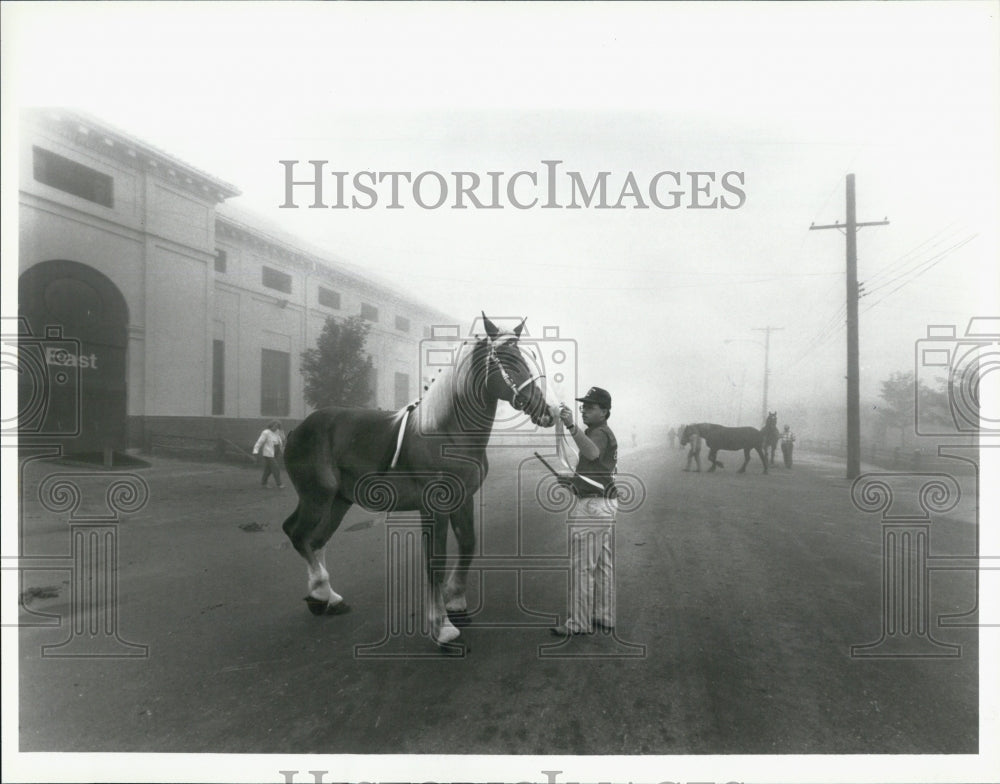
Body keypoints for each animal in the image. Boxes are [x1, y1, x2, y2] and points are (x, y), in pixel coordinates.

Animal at [280, 316, 556, 648]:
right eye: (506, 359)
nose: (544, 411)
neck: (447, 432)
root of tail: (297, 429)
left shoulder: (463, 499)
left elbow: (468, 544)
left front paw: (456, 602)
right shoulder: (433, 507)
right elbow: (434, 560)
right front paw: (442, 627)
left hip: (338, 501)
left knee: (316, 539)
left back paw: (329, 598)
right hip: (316, 497)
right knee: (297, 533)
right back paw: (320, 592)